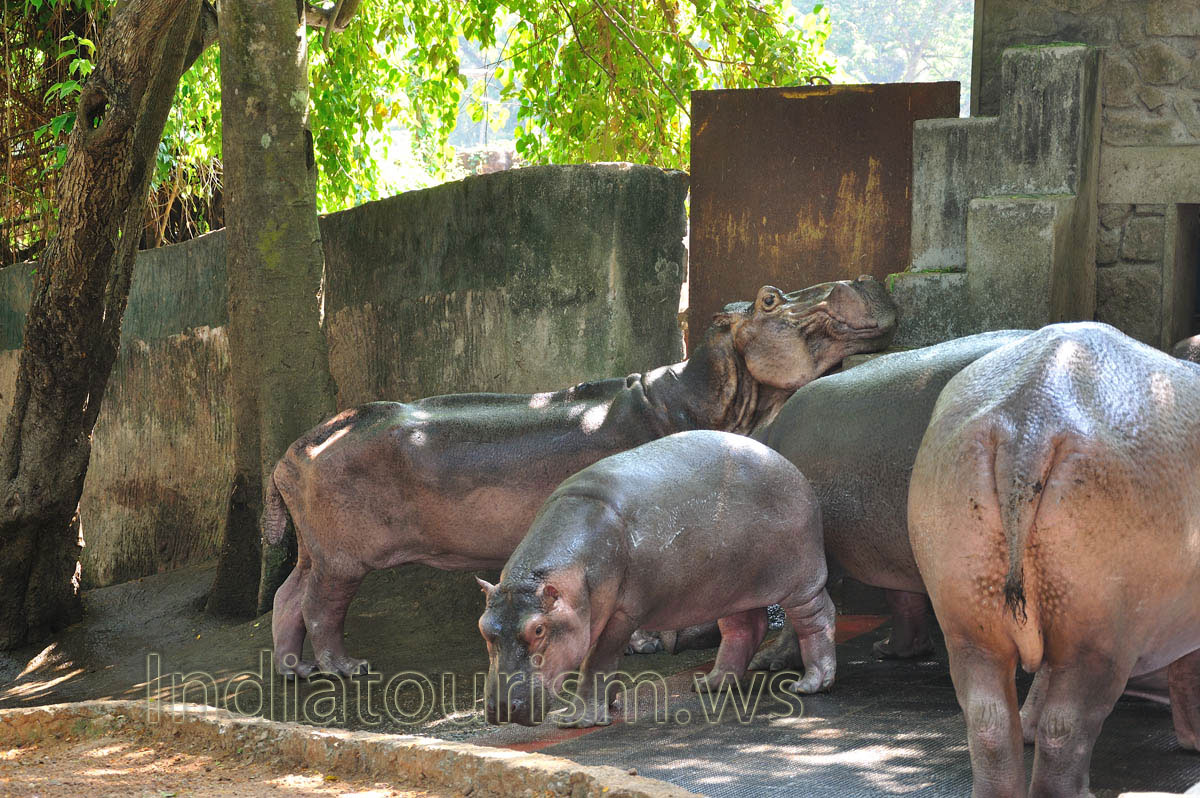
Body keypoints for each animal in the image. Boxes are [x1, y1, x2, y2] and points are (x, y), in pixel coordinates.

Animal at [266, 278, 896, 677]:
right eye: (770, 298)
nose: (864, 277)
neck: (703, 392)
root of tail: (294, 449)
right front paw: (648, 642)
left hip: (317, 549)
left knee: (287, 596)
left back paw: (295, 669)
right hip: (345, 558)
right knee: (321, 606)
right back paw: (347, 669)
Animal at [478, 430, 836, 728]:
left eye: (538, 629)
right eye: (483, 627)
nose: (503, 708)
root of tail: (785, 462)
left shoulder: (623, 613)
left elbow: (596, 662)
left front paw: (579, 720)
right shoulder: (591, 615)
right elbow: (602, 663)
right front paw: (609, 705)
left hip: (802, 580)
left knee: (818, 617)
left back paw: (810, 684)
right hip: (728, 587)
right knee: (744, 628)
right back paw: (710, 685)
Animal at [908, 322, 1200, 797]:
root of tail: (1027, 422)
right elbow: (1189, 673)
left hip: (970, 621)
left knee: (989, 720)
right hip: (1100, 635)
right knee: (1067, 728)